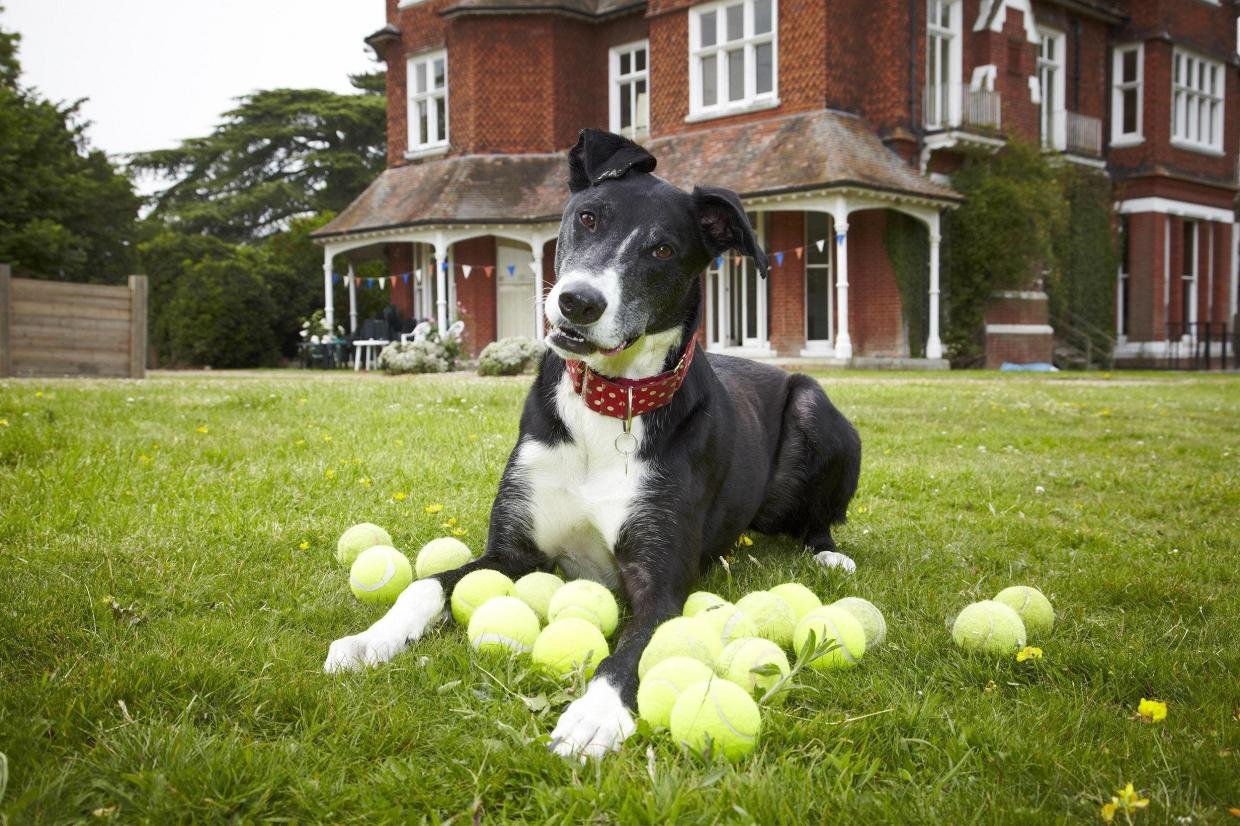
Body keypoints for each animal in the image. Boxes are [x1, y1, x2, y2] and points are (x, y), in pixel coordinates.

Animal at [324, 127, 858, 759]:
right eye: (587, 217)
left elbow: (638, 648)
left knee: (818, 518)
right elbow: (425, 585)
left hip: (814, 405)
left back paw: (828, 553)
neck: (609, 407)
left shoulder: (661, 584)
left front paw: (595, 713)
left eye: (663, 251)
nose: (578, 302)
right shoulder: (513, 552)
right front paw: (371, 638)